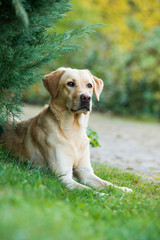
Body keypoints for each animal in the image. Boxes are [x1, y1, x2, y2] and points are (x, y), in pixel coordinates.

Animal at [0, 67, 132, 193]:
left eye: (89, 85)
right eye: (70, 83)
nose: (86, 97)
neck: (73, 129)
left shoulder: (86, 172)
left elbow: (106, 183)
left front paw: (122, 190)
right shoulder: (63, 176)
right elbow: (86, 190)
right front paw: (102, 195)